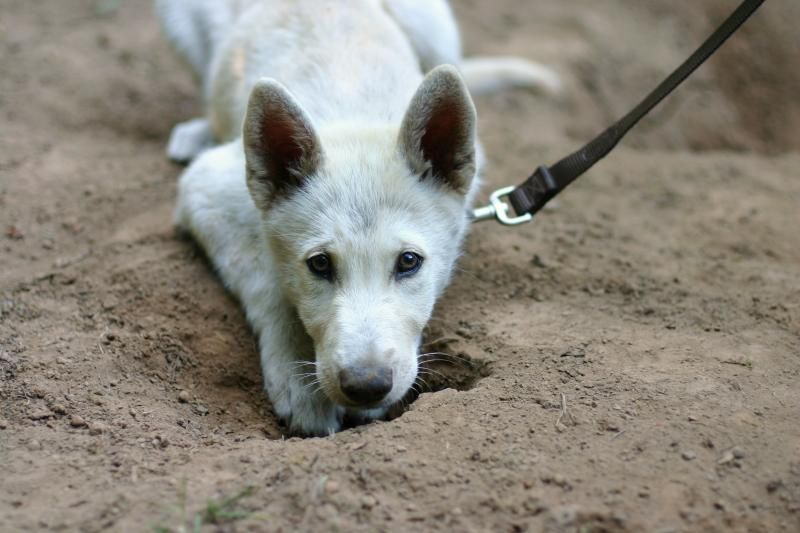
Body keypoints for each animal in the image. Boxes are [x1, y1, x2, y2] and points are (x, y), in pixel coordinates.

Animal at [155, 0, 556, 434]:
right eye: (319, 265)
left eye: (409, 262)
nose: (367, 386)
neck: (354, 113)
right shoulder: (206, 188)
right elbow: (268, 281)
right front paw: (300, 381)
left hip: (433, 25)